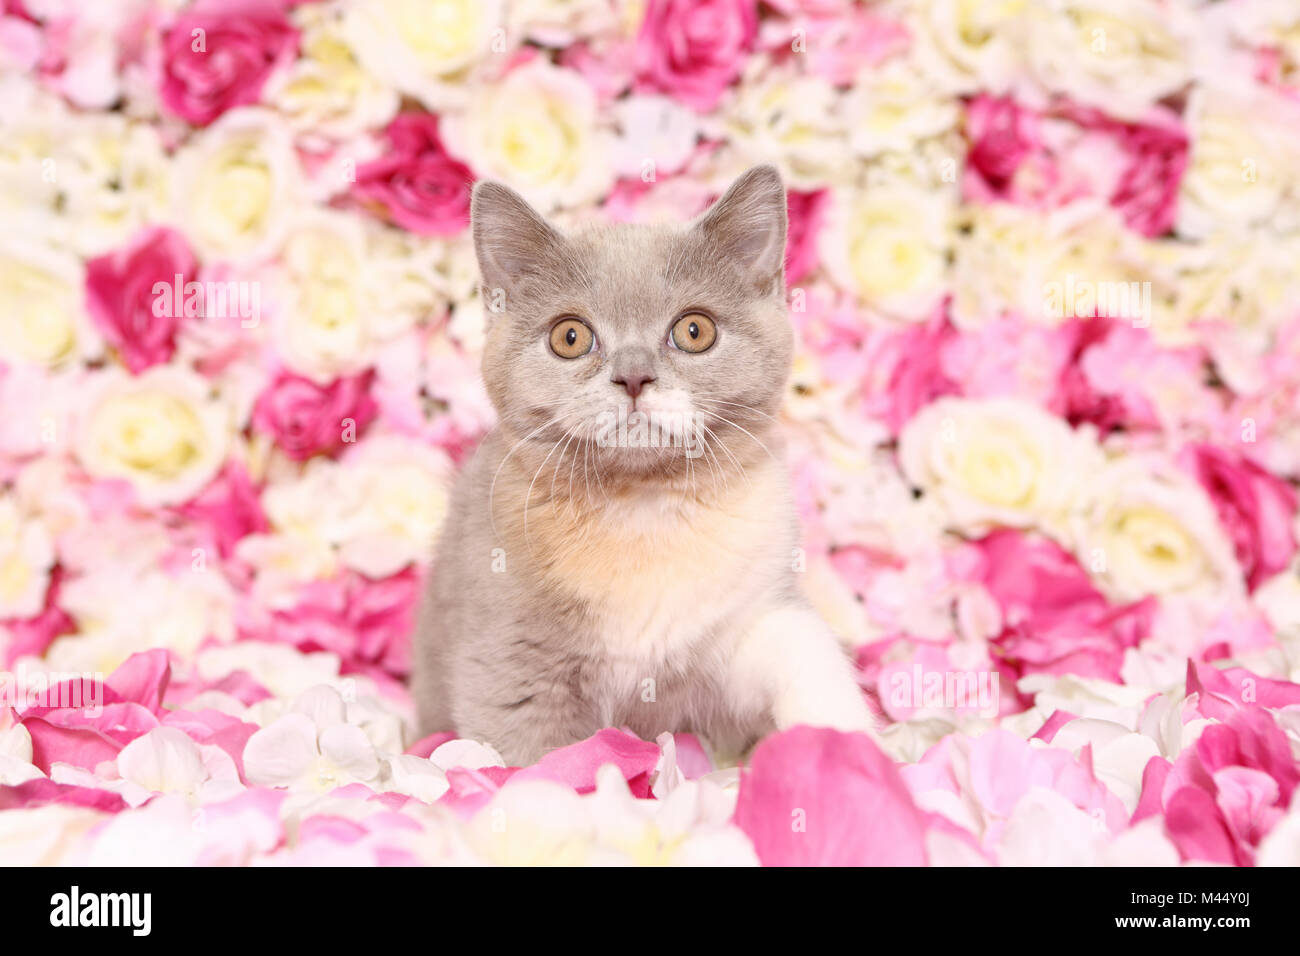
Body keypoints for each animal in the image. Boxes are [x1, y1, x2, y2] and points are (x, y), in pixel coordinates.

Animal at [408, 164, 873, 764]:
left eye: (695, 331)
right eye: (570, 336)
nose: (632, 376)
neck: (642, 509)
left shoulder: (746, 621)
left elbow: (802, 648)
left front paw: (844, 745)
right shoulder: (506, 660)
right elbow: (527, 759)